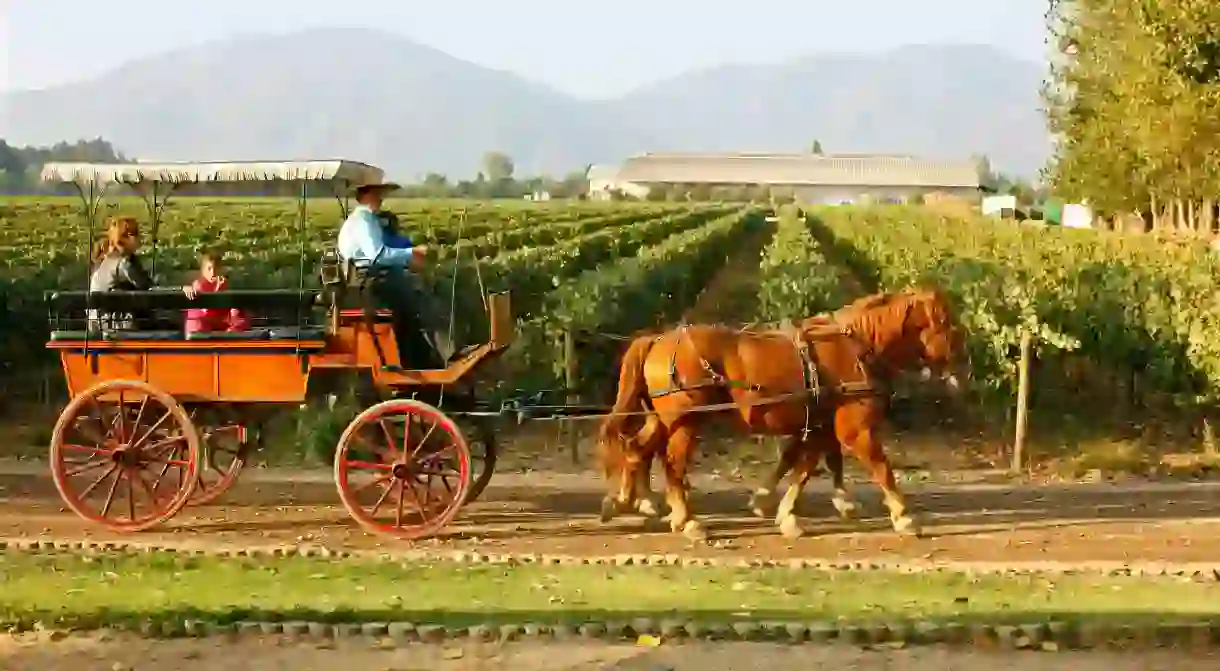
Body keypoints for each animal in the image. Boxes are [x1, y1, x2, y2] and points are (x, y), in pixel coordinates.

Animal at [597, 289, 961, 541]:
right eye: (946, 323)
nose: (962, 364)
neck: (855, 347)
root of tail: (658, 338)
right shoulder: (854, 428)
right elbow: (879, 467)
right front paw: (903, 516)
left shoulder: (818, 424)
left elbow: (803, 464)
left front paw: (780, 508)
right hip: (686, 421)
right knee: (671, 463)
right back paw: (687, 520)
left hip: (663, 419)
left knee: (637, 449)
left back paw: (628, 501)